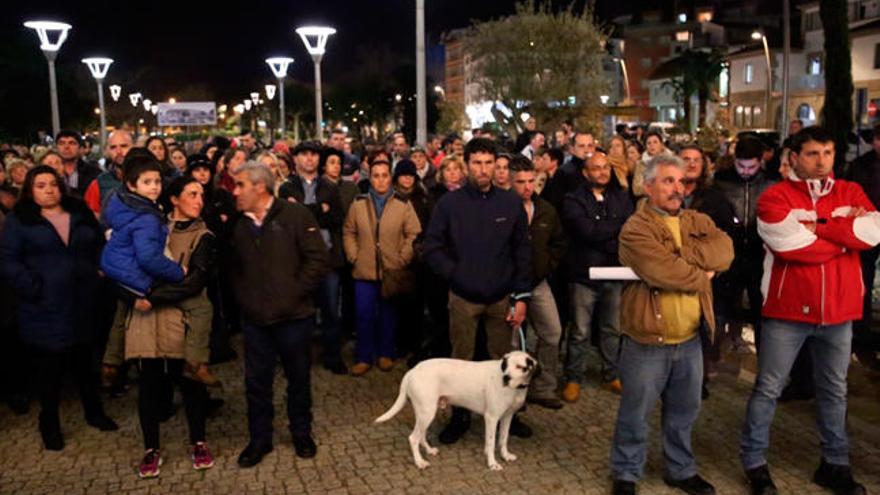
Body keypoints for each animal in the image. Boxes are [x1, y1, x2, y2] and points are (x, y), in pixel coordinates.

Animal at [372, 350, 536, 470]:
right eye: (506, 366)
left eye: (520, 367)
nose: (506, 378)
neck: (515, 389)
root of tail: (412, 370)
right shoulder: (491, 417)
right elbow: (490, 442)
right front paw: (492, 463)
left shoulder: (507, 417)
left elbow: (503, 439)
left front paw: (505, 456)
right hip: (427, 412)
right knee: (413, 438)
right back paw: (420, 462)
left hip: (426, 412)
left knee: (421, 435)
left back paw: (429, 451)